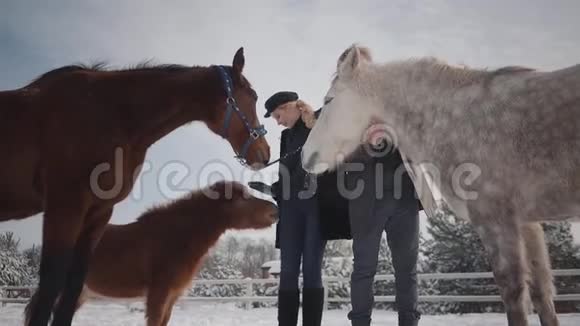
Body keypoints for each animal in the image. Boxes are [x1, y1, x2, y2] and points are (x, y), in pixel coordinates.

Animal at [302, 44, 580, 326]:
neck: (458, 118)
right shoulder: (528, 223)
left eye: (329, 100)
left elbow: (514, 296)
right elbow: (542, 295)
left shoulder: (496, 220)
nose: (305, 155)